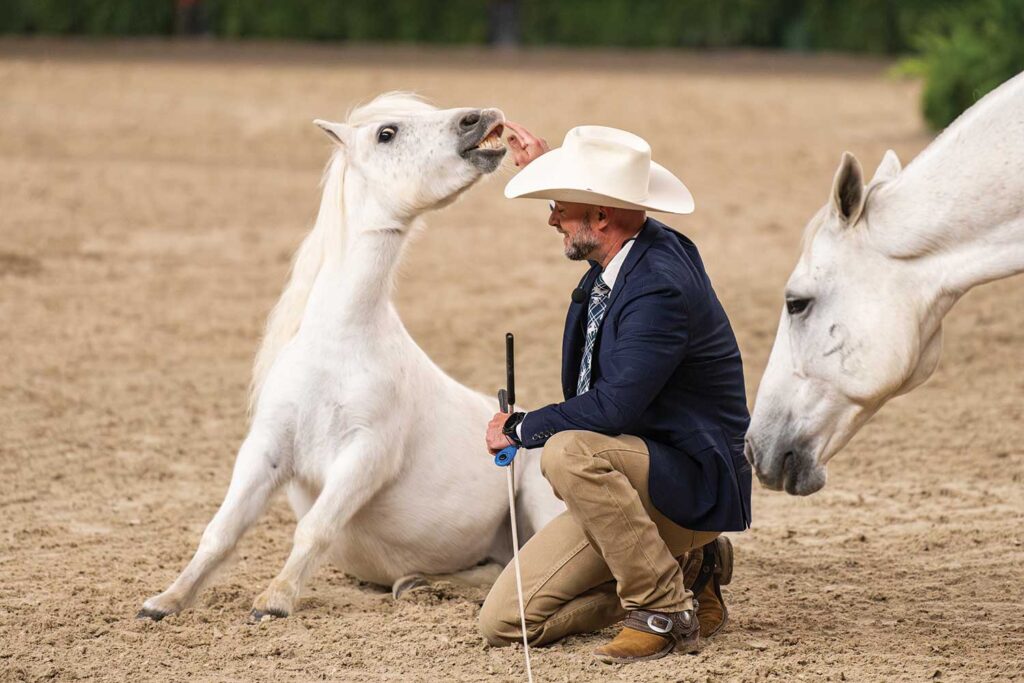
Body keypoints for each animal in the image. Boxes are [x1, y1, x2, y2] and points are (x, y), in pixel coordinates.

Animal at [138, 93, 563, 621]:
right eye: (386, 133)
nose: (483, 117)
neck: (336, 347)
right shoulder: (265, 450)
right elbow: (221, 531)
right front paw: (166, 601)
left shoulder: (366, 457)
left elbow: (315, 528)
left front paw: (274, 601)